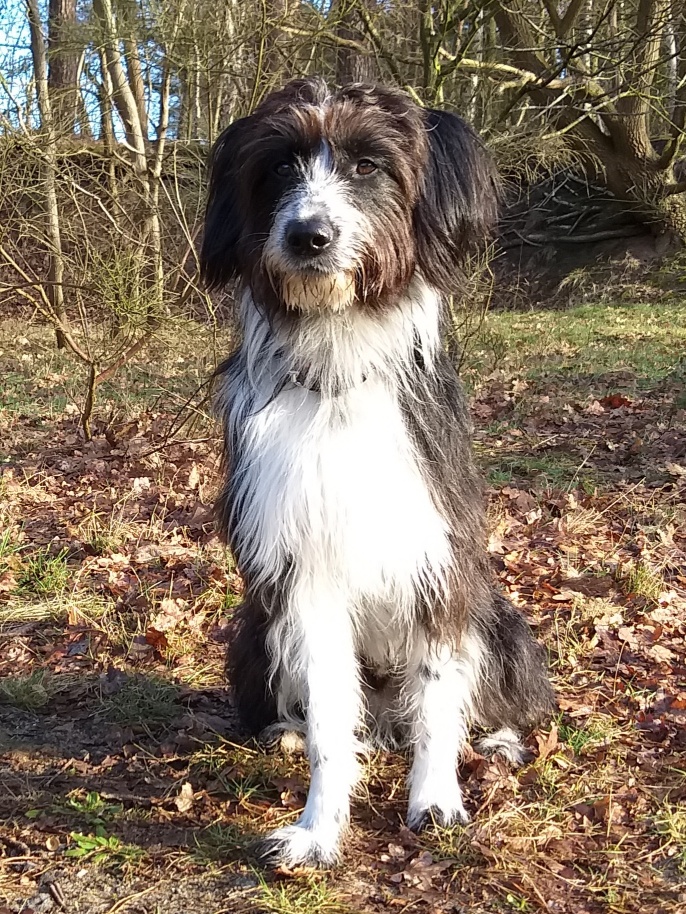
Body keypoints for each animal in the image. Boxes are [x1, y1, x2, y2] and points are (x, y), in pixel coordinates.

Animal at [202, 76, 556, 864]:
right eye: (278, 166)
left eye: (368, 164)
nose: (308, 235)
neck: (340, 359)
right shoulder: (302, 573)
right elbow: (331, 721)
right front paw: (319, 827)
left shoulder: (439, 559)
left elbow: (439, 695)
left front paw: (435, 799)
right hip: (255, 630)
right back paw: (286, 732)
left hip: (502, 623)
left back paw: (497, 741)